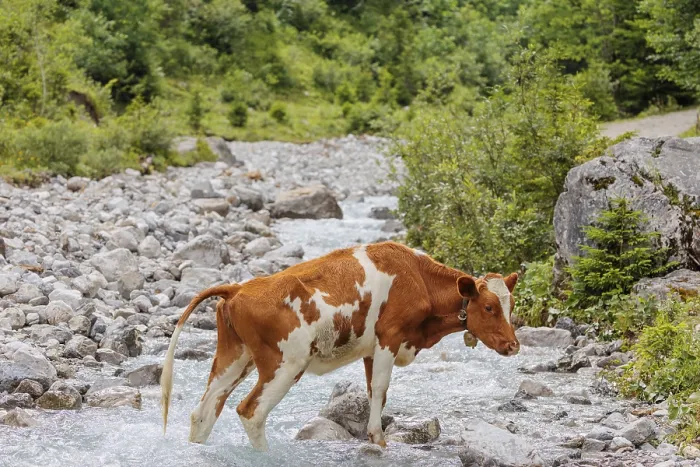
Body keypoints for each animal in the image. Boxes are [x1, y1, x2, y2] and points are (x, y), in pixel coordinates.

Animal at [161, 241, 520, 450]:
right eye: (490, 307)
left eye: (511, 304)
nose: (514, 345)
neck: (416, 277)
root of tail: (238, 288)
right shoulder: (390, 337)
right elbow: (381, 388)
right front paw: (378, 439)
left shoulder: (371, 349)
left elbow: (375, 392)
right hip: (284, 364)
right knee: (251, 412)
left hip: (234, 357)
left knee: (204, 410)